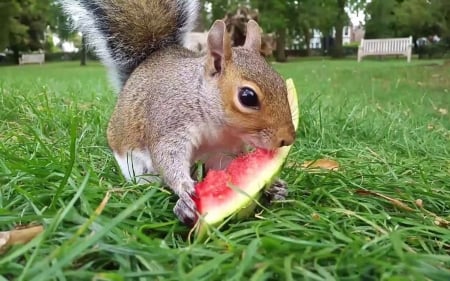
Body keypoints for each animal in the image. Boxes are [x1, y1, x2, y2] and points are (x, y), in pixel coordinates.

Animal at [61, 0, 298, 223]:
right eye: (247, 97)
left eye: (280, 82)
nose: (287, 139)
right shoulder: (171, 122)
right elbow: (167, 156)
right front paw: (184, 187)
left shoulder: (223, 150)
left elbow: (229, 168)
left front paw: (271, 186)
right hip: (133, 165)